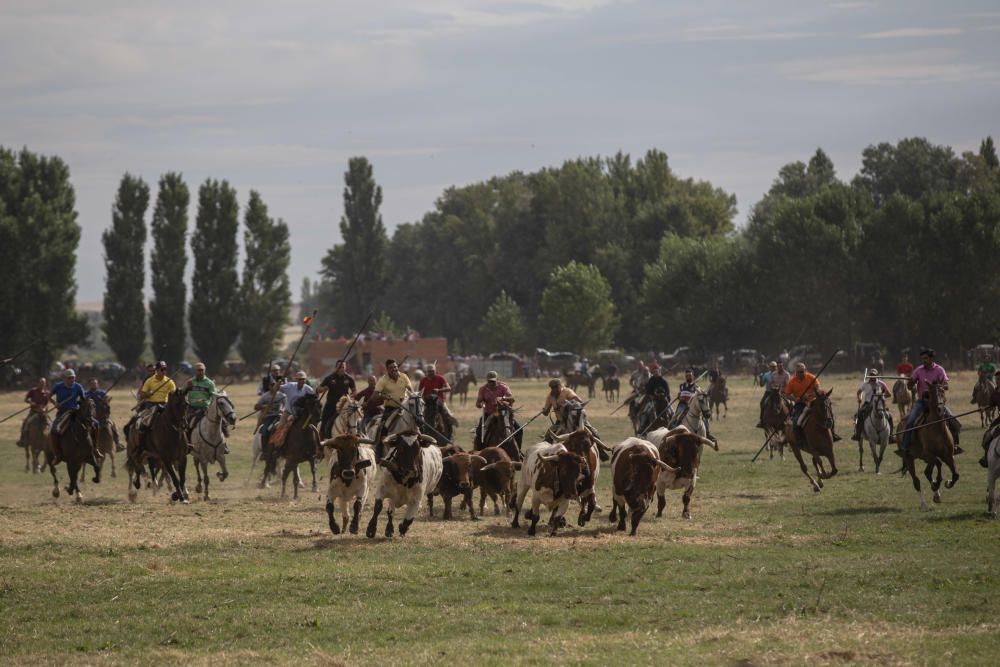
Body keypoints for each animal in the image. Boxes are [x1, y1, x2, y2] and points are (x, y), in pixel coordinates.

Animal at [904, 380, 956, 512]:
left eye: (942, 390)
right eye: (931, 392)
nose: (939, 408)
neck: (936, 428)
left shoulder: (949, 455)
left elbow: (956, 474)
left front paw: (948, 483)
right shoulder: (929, 454)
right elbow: (939, 463)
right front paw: (937, 483)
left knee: (927, 472)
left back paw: (936, 495)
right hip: (910, 458)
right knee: (916, 481)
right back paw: (924, 504)